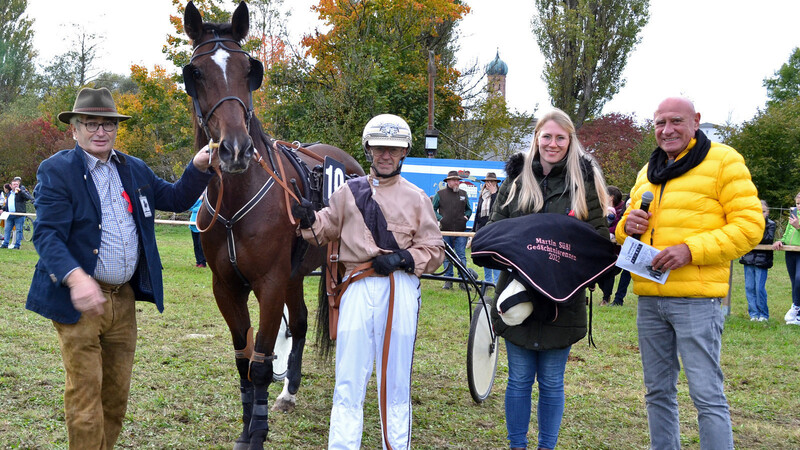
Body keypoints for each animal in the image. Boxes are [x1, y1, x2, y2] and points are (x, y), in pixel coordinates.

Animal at [184, 1, 362, 448]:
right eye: (196, 74)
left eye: (249, 69)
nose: (234, 149)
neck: (236, 200)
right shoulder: (227, 287)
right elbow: (244, 362)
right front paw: (248, 425)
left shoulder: (269, 283)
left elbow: (262, 364)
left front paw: (257, 433)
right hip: (296, 274)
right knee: (298, 324)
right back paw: (289, 392)